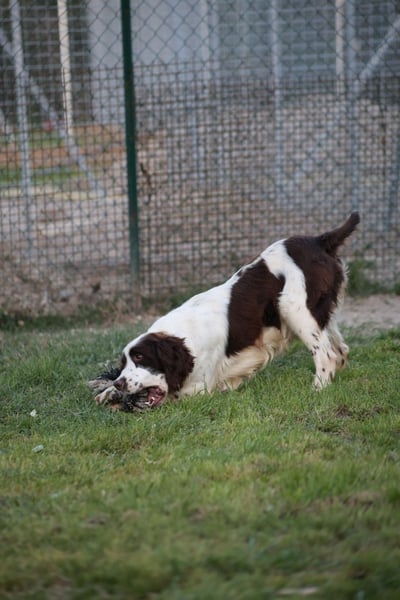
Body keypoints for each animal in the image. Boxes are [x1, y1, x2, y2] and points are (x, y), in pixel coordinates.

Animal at [89, 212, 360, 411]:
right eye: (123, 363)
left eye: (140, 357)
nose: (120, 383)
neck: (186, 339)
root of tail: (321, 240)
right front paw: (107, 390)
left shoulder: (201, 387)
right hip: (319, 313)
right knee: (340, 349)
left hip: (294, 307)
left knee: (326, 354)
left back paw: (318, 389)